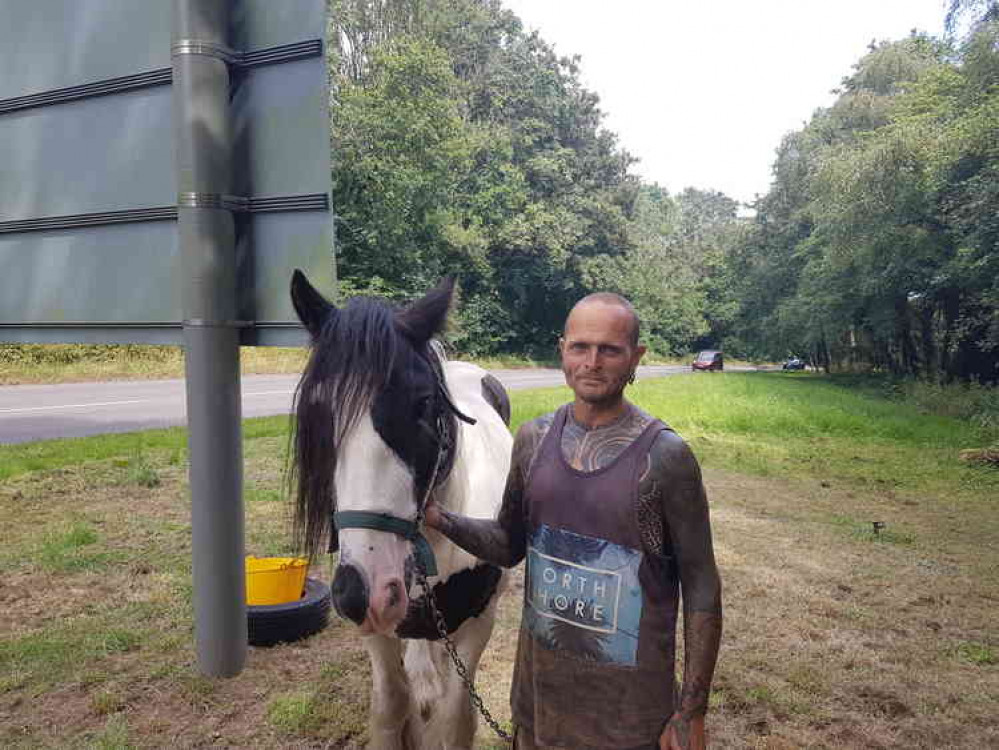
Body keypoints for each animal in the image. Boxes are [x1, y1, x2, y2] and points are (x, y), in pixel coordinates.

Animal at [288, 272, 508, 750]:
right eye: (315, 409)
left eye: (423, 403)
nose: (364, 591)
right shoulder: (378, 633)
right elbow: (391, 705)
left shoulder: (479, 620)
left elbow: (455, 717)